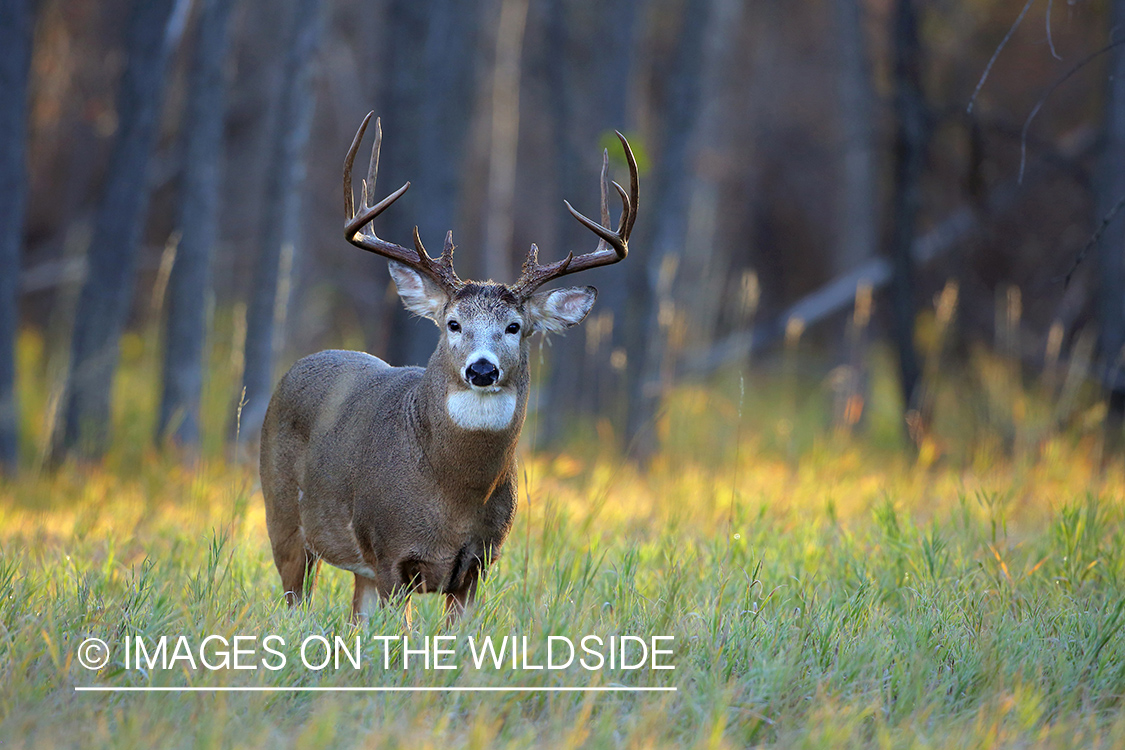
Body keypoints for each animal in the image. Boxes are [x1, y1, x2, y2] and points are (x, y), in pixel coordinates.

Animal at [257, 114, 639, 620]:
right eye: (453, 323)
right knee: (294, 599)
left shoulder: (477, 564)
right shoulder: (390, 554)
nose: (482, 370)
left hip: (356, 568)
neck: (452, 496)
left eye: (515, 327)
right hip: (283, 518)